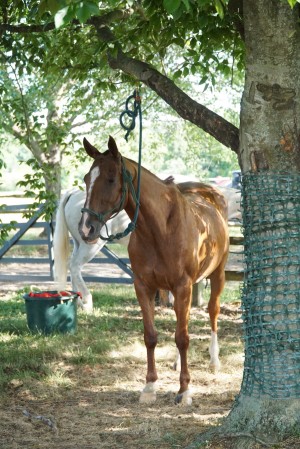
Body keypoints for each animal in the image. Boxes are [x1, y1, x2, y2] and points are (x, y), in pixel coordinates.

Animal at [78, 135, 229, 404]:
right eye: (87, 179)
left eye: (111, 178)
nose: (87, 229)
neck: (161, 228)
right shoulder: (143, 286)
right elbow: (151, 336)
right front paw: (149, 386)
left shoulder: (182, 286)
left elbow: (182, 338)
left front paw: (184, 390)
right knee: (183, 319)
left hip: (217, 274)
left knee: (212, 312)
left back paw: (214, 360)